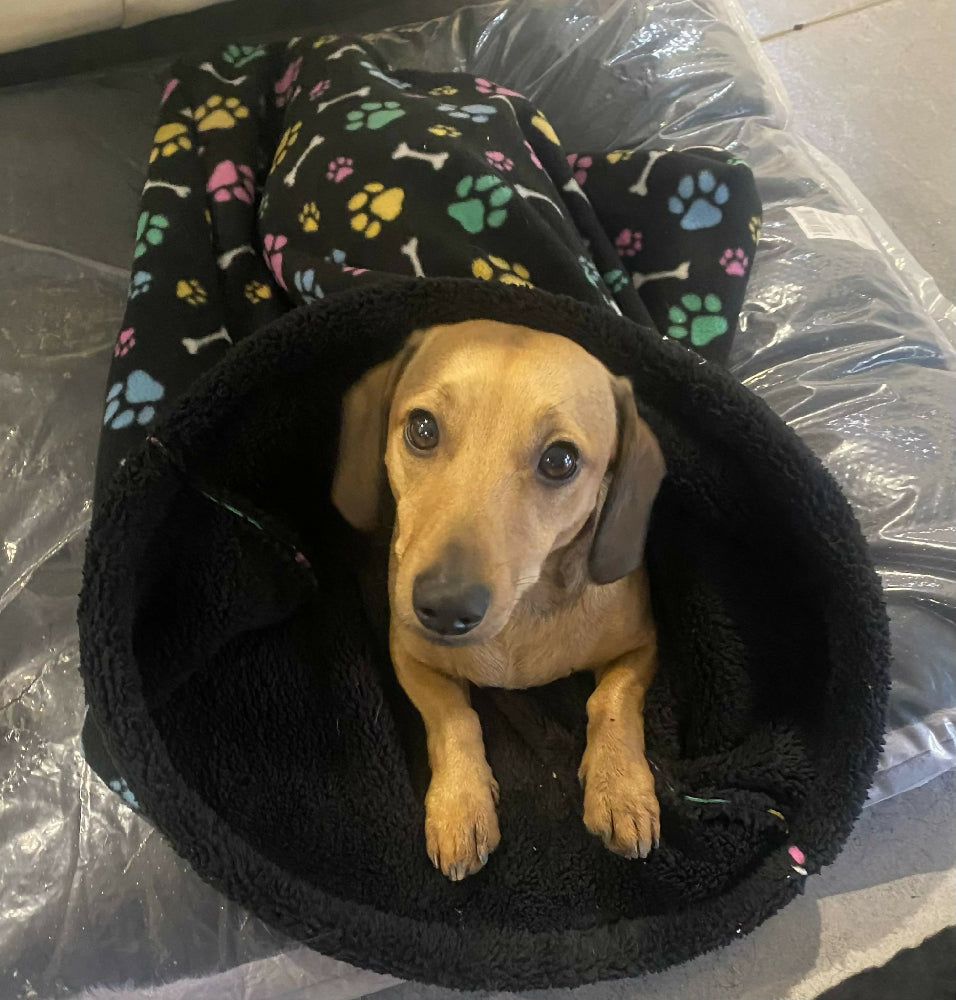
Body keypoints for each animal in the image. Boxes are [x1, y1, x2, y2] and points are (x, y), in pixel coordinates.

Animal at [332, 319, 665, 881]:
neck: (519, 621)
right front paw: (460, 806)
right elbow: (453, 718)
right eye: (422, 429)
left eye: (560, 460)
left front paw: (620, 788)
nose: (444, 607)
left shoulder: (641, 648)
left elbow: (611, 703)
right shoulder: (409, 655)